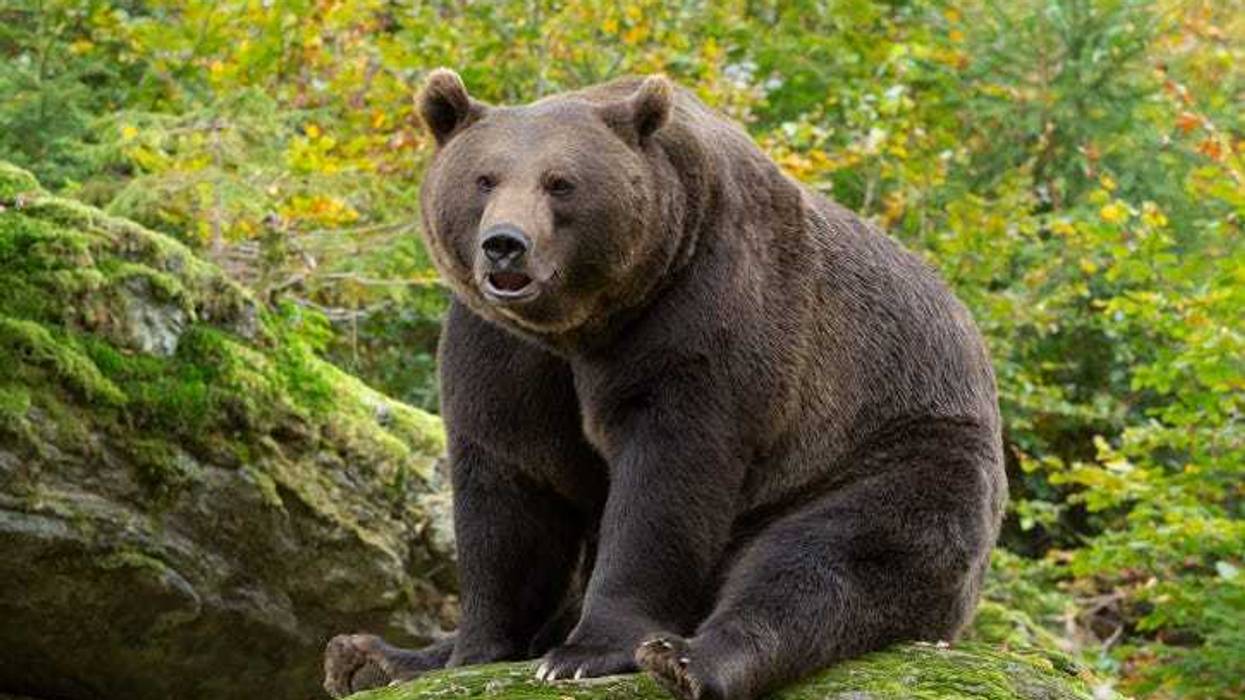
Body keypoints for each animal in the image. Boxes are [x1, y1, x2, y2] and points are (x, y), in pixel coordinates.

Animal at [323, 69, 1006, 700]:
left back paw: (686, 658)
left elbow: (668, 477)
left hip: (893, 450)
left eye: (560, 182)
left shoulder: (703, 312)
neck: (584, 325)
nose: (504, 246)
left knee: (826, 559)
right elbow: (512, 484)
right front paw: (470, 649)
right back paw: (371, 655)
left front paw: (586, 652)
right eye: (484, 179)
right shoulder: (505, 350)